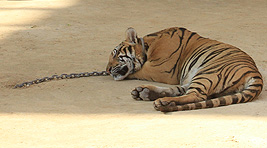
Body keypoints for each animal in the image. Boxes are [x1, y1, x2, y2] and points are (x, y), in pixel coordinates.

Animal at [106, 26, 264, 112]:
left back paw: (162, 101)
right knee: (181, 91)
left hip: (208, 72)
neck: (148, 46)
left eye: (115, 53)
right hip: (200, 76)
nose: (107, 70)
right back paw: (145, 92)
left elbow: (137, 71)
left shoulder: (161, 69)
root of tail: (256, 74)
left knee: (196, 96)